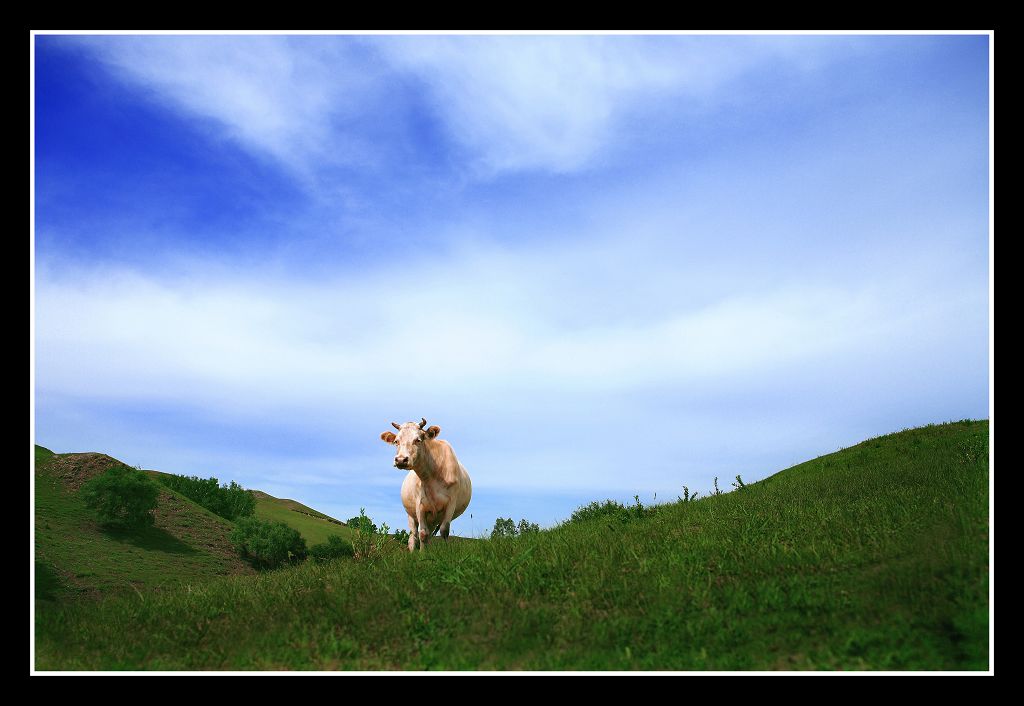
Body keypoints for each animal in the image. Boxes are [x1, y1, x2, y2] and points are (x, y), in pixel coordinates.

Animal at [380, 418, 471, 549]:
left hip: (434, 519)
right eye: (396, 441)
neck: (433, 475)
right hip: (412, 515)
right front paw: (422, 554)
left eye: (418, 440)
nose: (401, 460)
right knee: (413, 535)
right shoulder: (420, 505)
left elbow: (444, 531)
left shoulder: (451, 503)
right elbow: (422, 534)